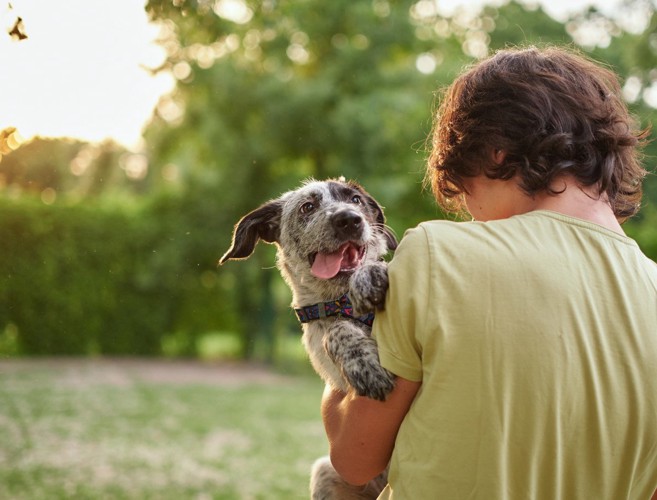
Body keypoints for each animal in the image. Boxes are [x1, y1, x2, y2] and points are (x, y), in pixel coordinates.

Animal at [219, 178, 394, 498]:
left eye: (356, 200)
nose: (348, 219)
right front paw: (364, 364)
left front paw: (369, 274)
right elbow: (336, 331)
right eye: (307, 207)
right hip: (325, 471)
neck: (345, 302)